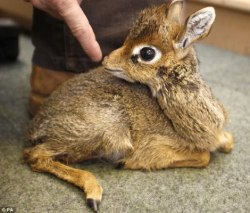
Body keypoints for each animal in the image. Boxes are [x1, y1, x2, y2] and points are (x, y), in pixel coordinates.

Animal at [23, 0, 232, 211]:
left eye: (147, 53)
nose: (106, 60)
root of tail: (36, 126)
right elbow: (204, 157)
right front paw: (128, 163)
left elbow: (227, 143)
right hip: (101, 130)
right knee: (35, 156)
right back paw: (93, 192)